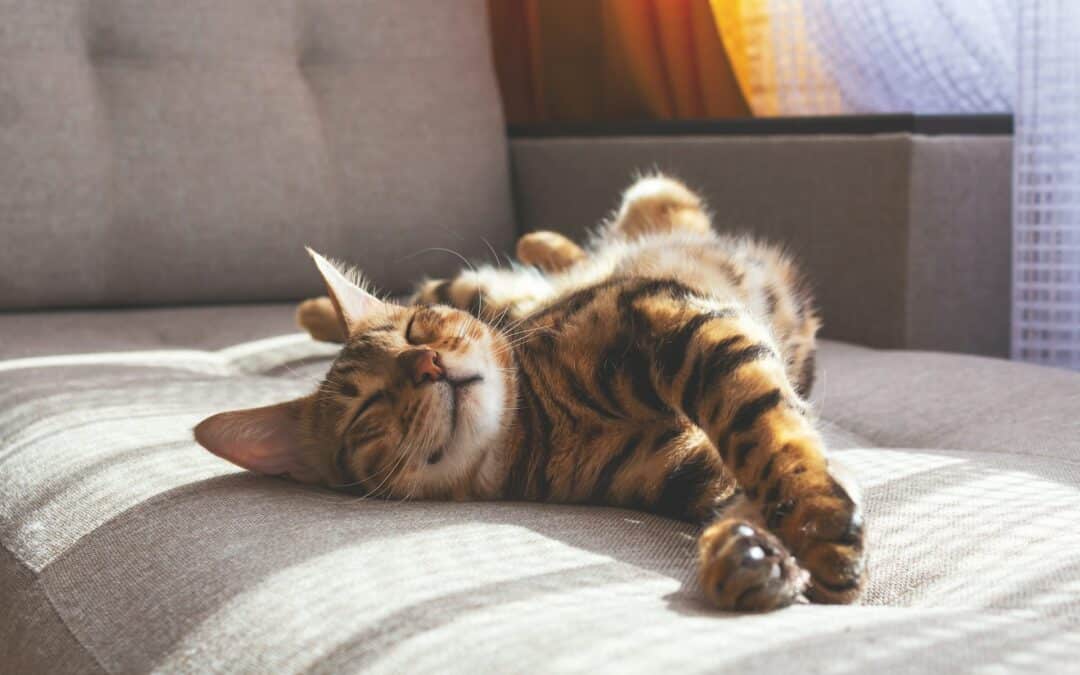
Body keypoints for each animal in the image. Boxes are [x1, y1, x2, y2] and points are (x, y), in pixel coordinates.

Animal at [198, 173, 864, 609]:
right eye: (368, 408)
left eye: (416, 331)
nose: (427, 363)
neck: (542, 423)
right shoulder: (690, 469)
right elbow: (749, 469)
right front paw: (754, 555)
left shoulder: (669, 313)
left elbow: (764, 429)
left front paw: (813, 524)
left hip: (608, 226)